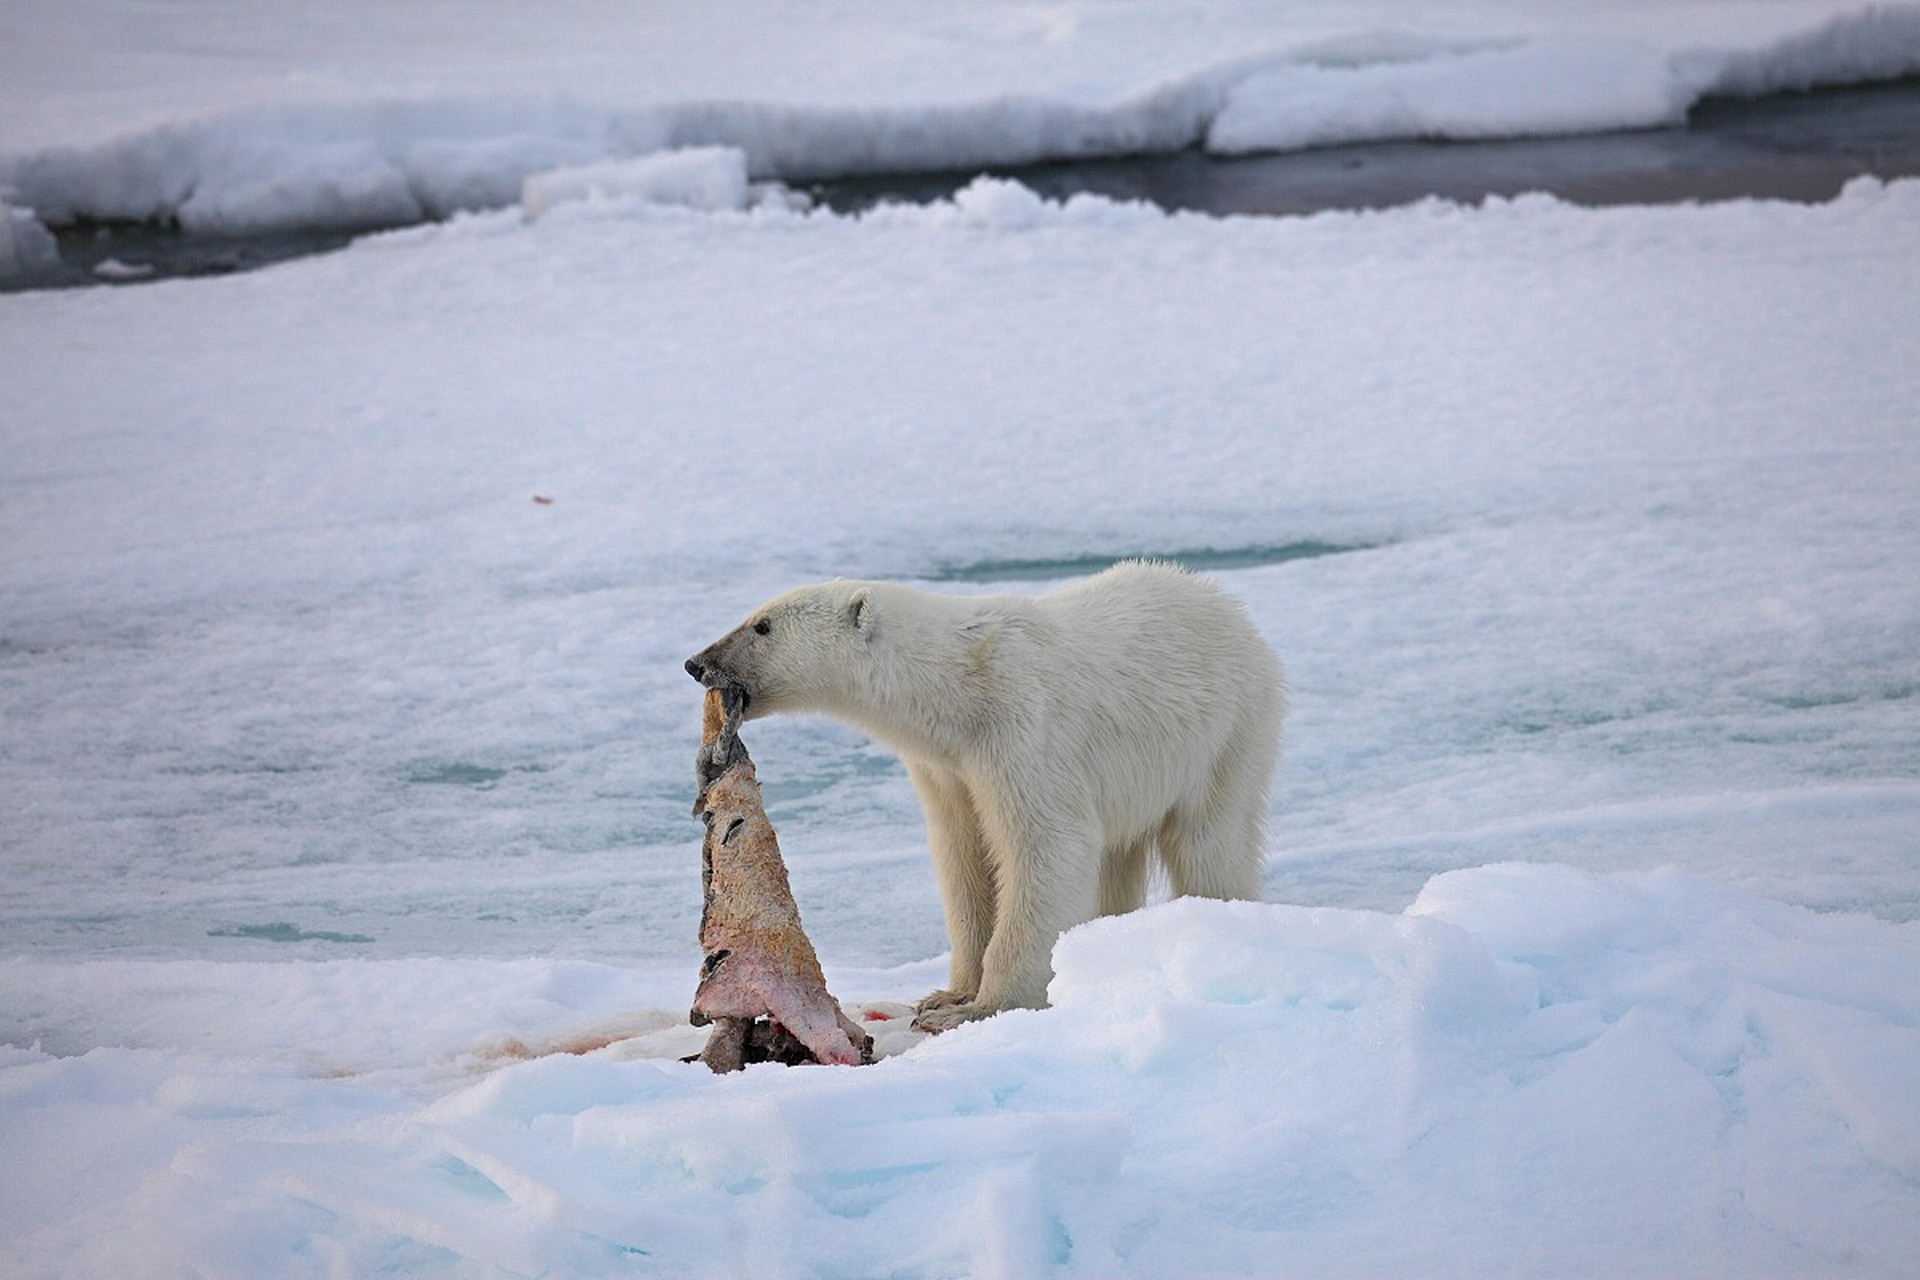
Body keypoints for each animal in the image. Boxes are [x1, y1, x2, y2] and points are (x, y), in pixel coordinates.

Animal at [683, 560, 1282, 1028]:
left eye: (762, 626)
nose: (697, 663)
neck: (958, 689)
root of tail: (1230, 608)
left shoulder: (1023, 731)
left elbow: (1047, 846)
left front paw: (979, 1008)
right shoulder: (946, 767)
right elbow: (964, 856)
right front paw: (945, 995)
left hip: (1226, 732)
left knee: (1209, 841)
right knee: (1119, 858)